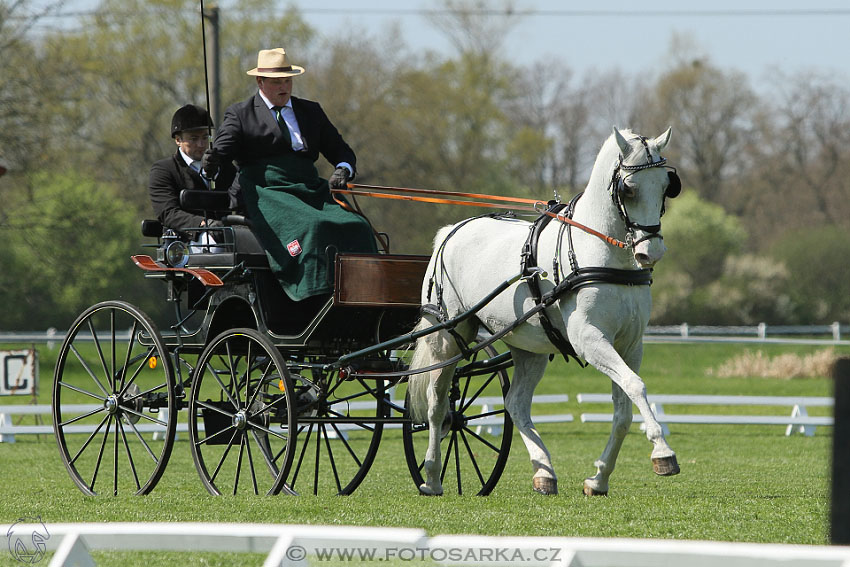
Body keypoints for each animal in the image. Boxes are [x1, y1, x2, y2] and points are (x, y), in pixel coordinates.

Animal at [408, 126, 680, 494]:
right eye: (629, 188)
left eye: (667, 186)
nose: (651, 253)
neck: (601, 254)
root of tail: (451, 232)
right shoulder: (590, 340)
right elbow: (636, 387)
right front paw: (662, 451)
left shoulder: (629, 344)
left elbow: (623, 407)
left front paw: (598, 478)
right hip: (447, 338)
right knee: (437, 404)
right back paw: (433, 475)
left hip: (528, 348)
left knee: (516, 404)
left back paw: (544, 471)